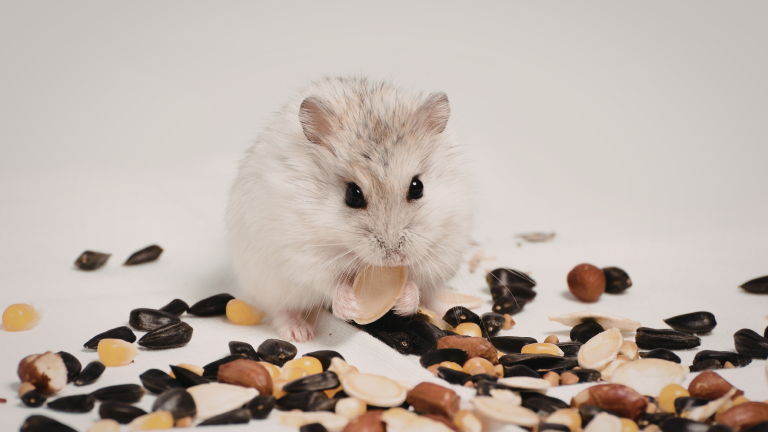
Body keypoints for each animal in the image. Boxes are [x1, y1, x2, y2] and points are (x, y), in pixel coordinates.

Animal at [226, 77, 473, 342]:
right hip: (268, 283)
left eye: (418, 187)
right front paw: (354, 306)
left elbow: (417, 282)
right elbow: (330, 283)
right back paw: (300, 333)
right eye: (353, 195)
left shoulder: (443, 246)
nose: (394, 258)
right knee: (280, 309)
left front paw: (402, 302)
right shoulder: (302, 254)